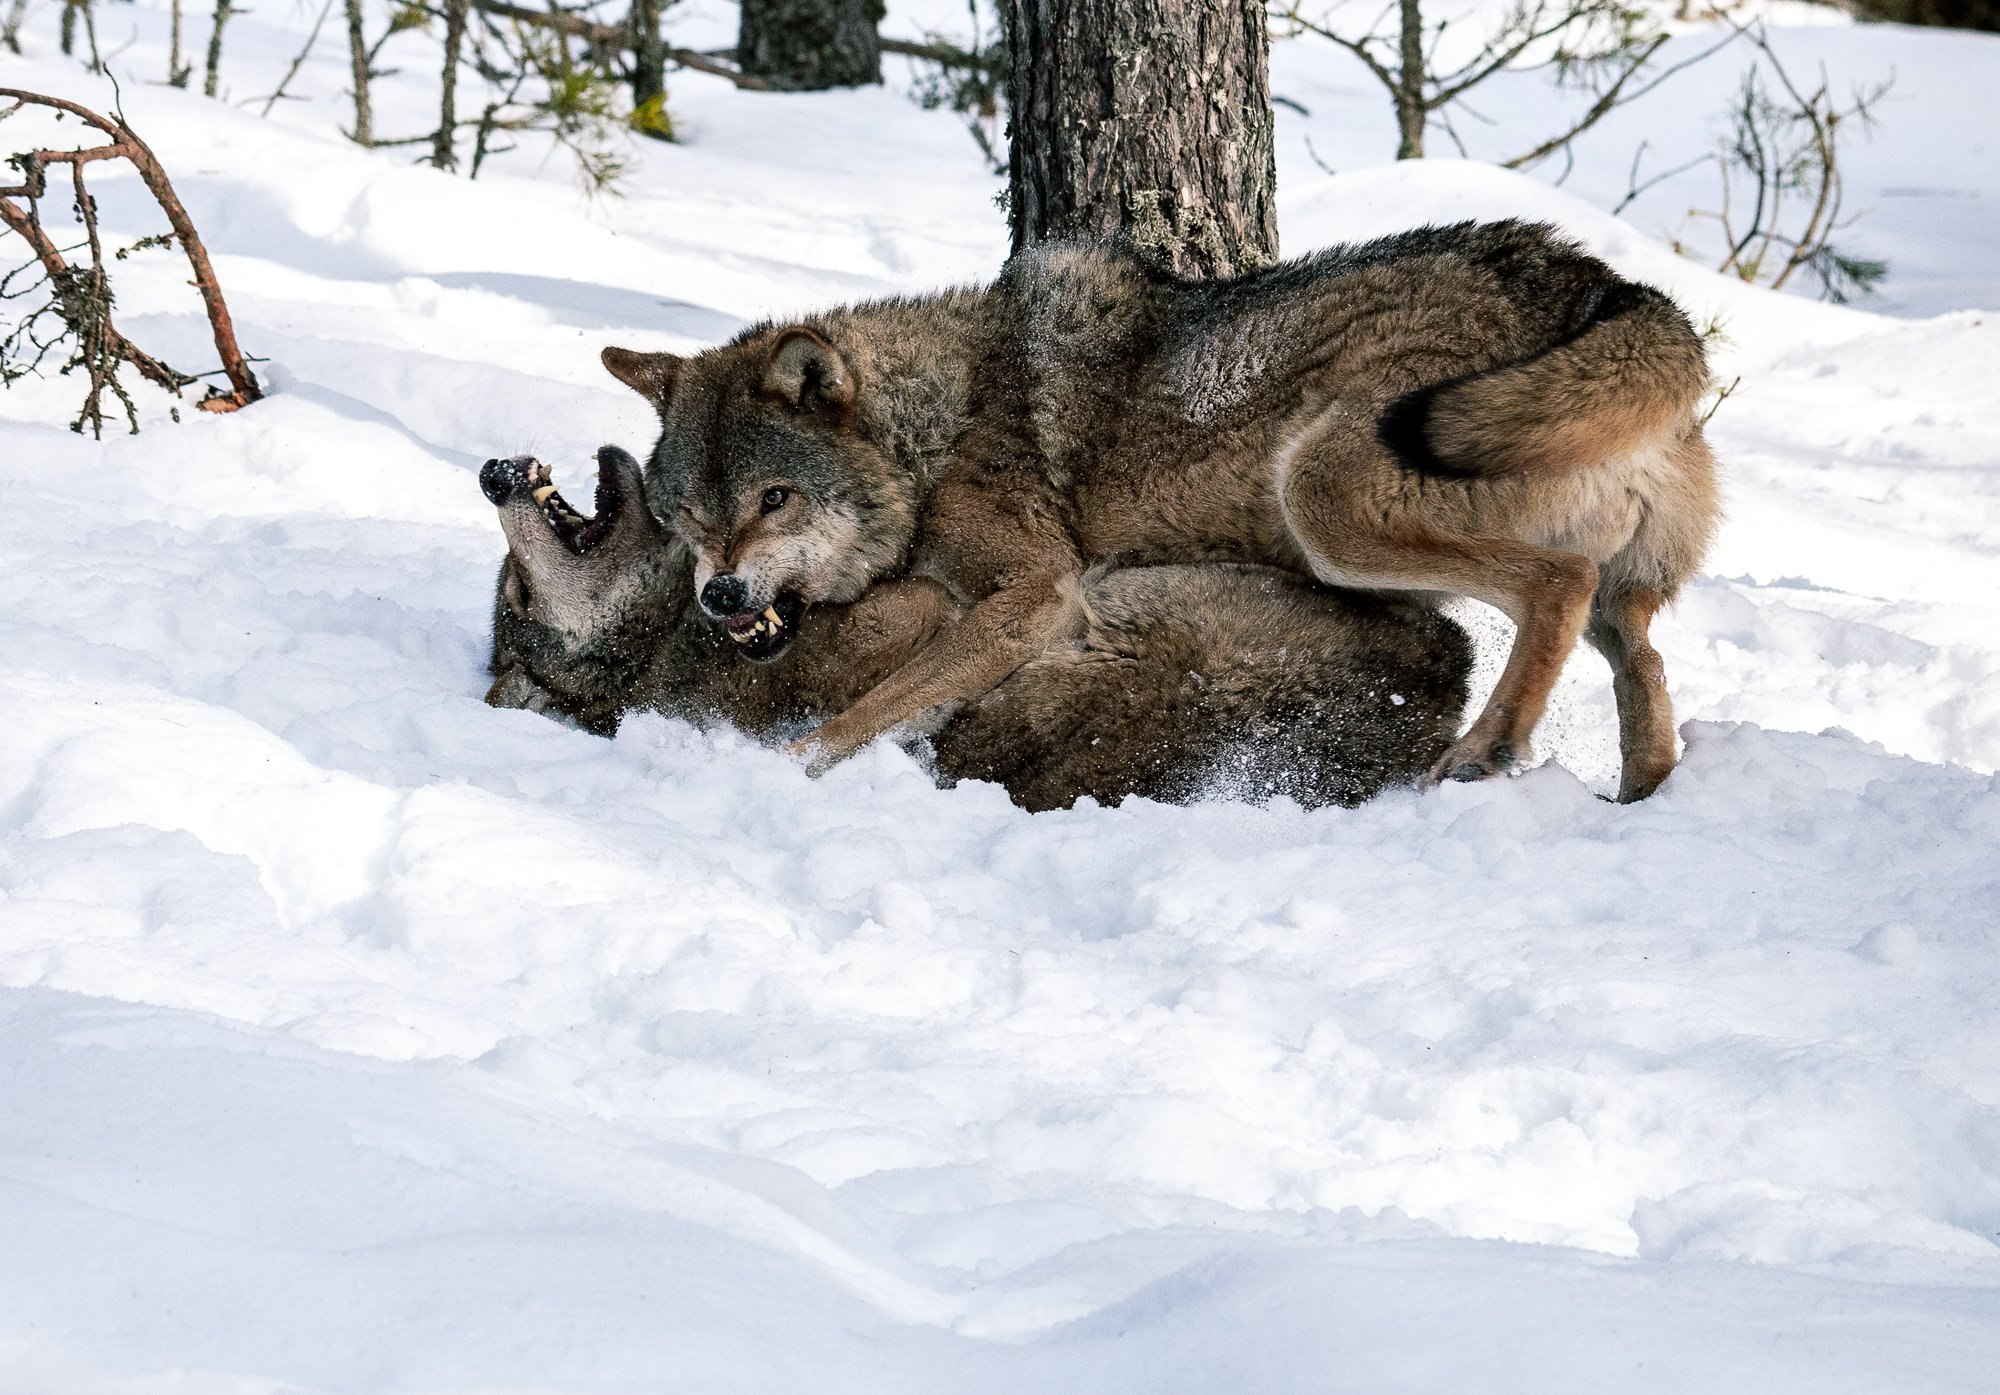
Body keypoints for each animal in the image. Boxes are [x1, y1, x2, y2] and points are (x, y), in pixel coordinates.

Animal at [600, 221, 1712, 799]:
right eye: (688, 516)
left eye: (772, 498)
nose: (719, 596)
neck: (937, 432)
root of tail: (1603, 284)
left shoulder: (1031, 598)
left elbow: (860, 714)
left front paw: (777, 772)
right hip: (1603, 589)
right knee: (1641, 658)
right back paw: (1641, 791)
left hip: (1323, 504)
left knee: (1558, 587)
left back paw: (1484, 751)